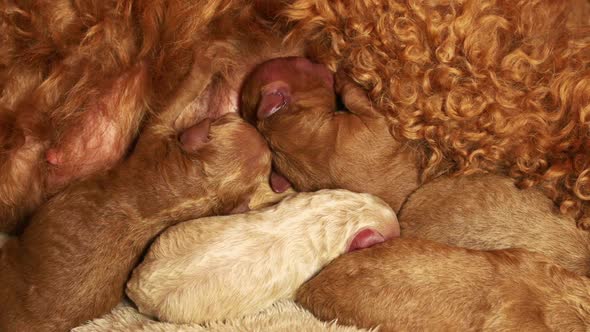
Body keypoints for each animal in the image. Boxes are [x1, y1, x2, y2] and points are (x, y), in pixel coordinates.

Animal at [243, 56, 590, 274]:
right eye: (304, 65)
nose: (317, 58)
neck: (292, 144)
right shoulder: (369, 126)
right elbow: (356, 98)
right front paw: (344, 78)